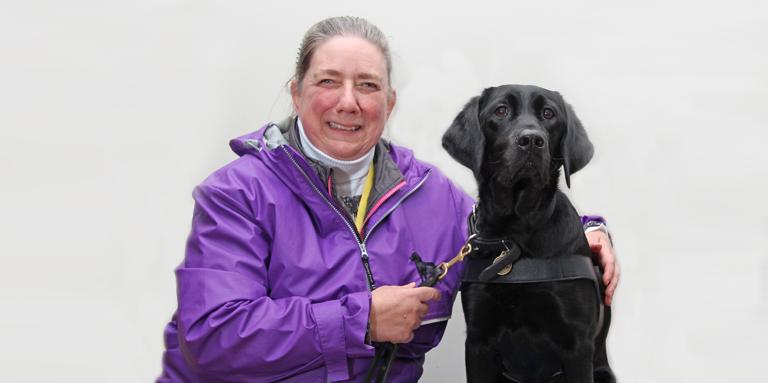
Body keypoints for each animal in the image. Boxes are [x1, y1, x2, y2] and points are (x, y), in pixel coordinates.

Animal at [440, 85, 616, 382]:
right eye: (500, 111)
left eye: (549, 114)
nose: (532, 140)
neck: (516, 234)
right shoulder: (478, 342)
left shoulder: (577, 344)